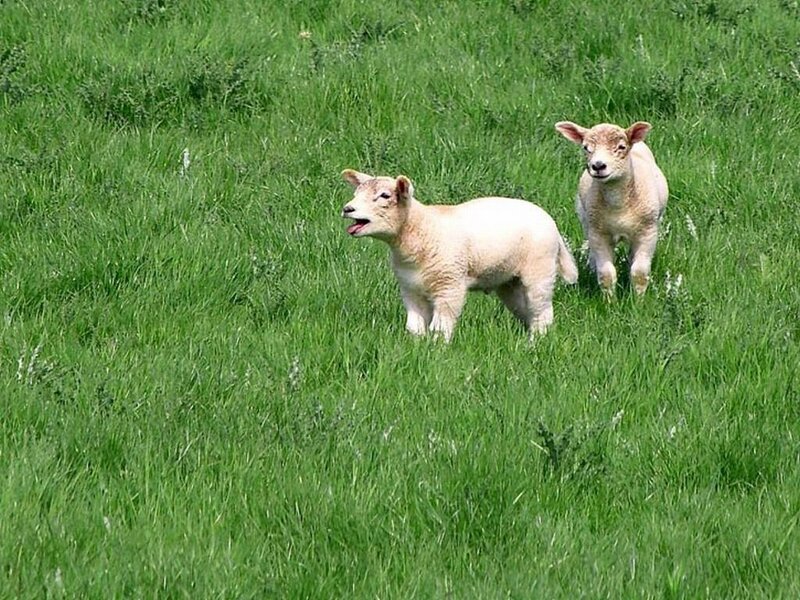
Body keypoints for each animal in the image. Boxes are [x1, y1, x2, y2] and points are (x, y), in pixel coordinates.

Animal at [340, 169, 578, 342]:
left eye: (385, 195)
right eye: (356, 194)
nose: (347, 209)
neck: (421, 230)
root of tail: (552, 224)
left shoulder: (450, 285)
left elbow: (441, 326)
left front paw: (437, 349)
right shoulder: (410, 288)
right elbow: (414, 326)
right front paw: (415, 347)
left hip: (540, 268)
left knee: (541, 311)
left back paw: (536, 342)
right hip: (509, 281)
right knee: (525, 309)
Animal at [555, 121, 669, 298]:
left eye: (621, 147)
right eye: (586, 148)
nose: (598, 165)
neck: (618, 203)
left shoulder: (648, 232)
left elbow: (640, 272)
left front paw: (638, 300)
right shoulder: (599, 234)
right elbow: (606, 273)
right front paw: (609, 301)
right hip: (587, 222)